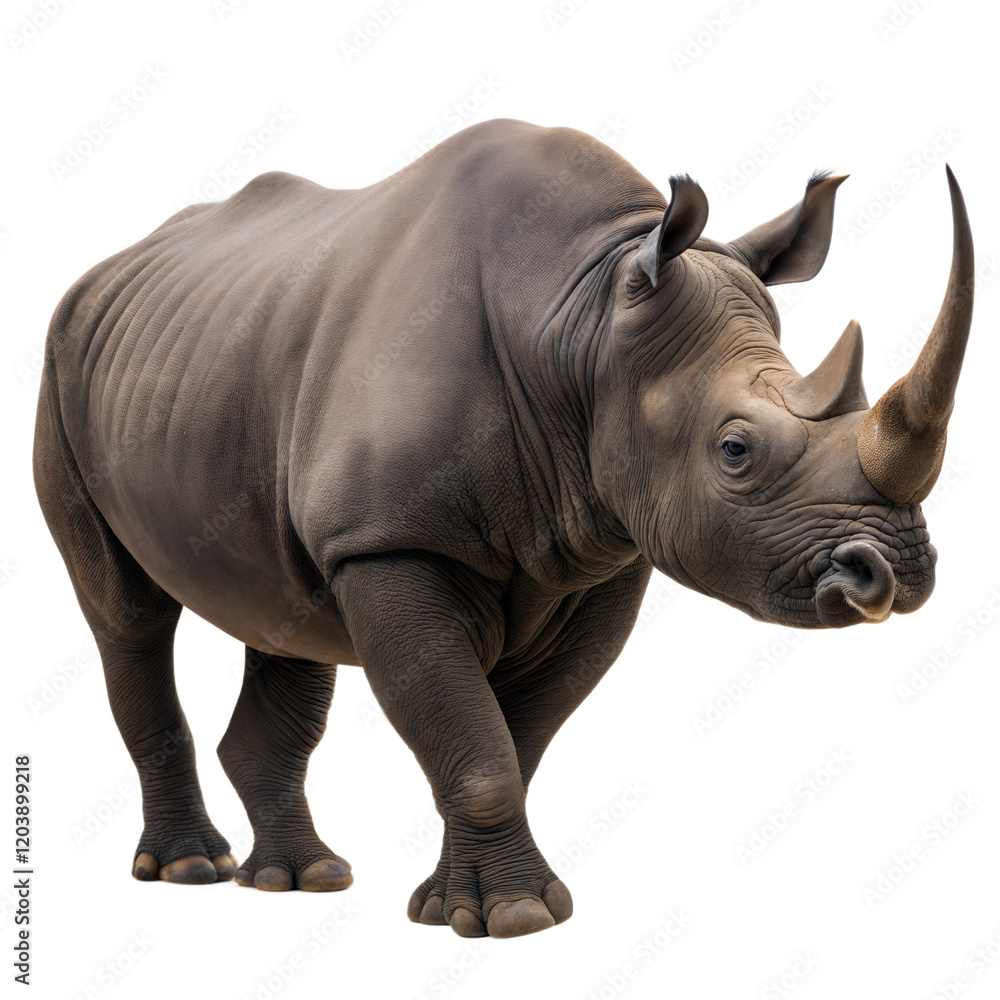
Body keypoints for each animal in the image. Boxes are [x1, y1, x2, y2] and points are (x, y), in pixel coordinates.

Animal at [33, 118, 973, 938]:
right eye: (735, 450)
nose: (893, 574)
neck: (582, 318)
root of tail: (104, 273)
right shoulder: (389, 543)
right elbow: (477, 744)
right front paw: (515, 921)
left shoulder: (602, 554)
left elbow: (510, 741)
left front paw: (461, 907)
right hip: (61, 363)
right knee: (128, 617)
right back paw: (191, 870)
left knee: (283, 611)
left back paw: (303, 879)